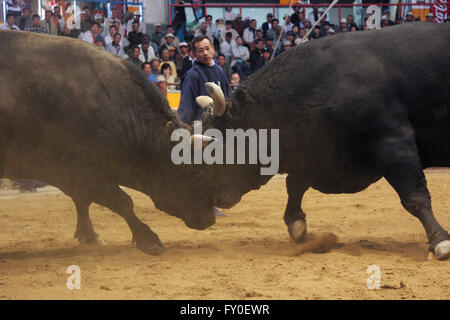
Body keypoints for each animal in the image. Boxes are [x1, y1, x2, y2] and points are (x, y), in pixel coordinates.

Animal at [0, 21, 448, 258]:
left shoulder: (391, 142)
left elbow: (413, 195)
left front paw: (439, 241)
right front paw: (145, 239)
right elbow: (116, 200)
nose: (213, 211)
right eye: (195, 173)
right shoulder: (77, 168)